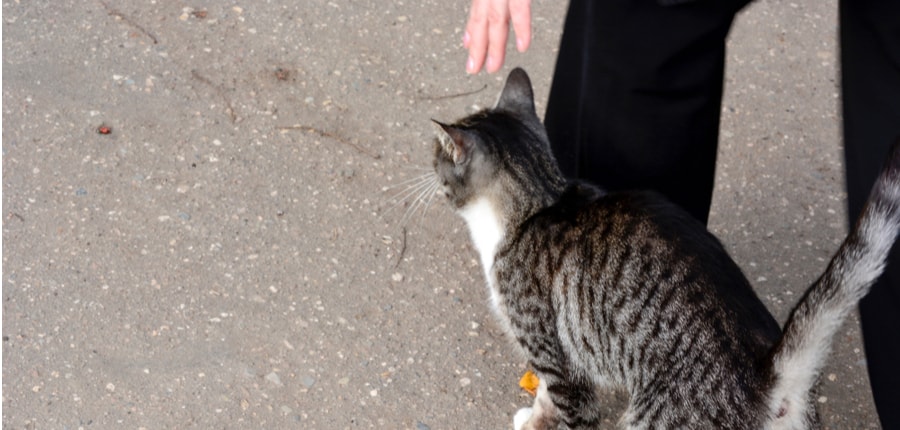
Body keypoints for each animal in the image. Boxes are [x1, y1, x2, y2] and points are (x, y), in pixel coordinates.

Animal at [428, 69, 900, 428]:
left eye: (438, 154)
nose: (428, 162)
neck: (541, 202)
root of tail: (768, 375)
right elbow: (546, 392)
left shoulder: (554, 356)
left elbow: (563, 407)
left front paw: (536, 422)